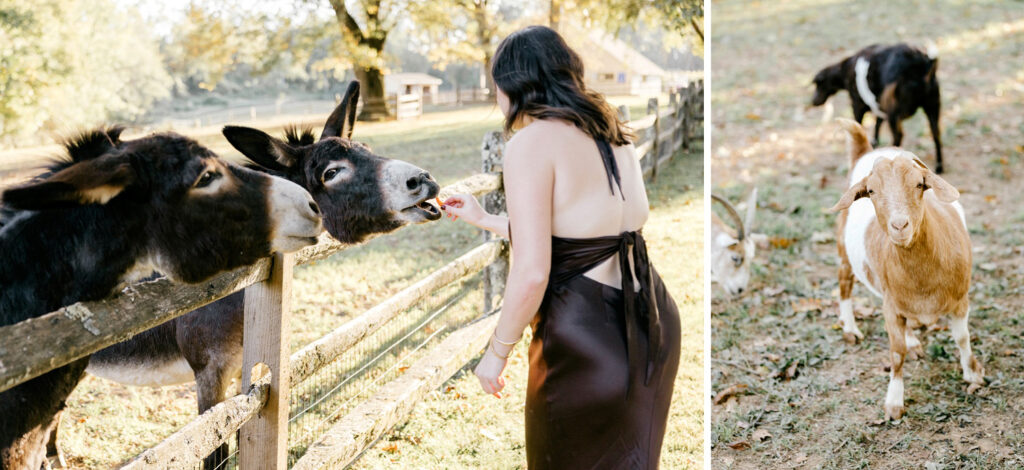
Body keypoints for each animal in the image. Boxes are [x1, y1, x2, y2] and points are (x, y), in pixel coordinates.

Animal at [827, 119, 978, 421]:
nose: (899, 225)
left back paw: (913, 341)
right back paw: (850, 329)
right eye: (871, 191)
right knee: (844, 285)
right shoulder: (891, 306)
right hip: (844, 251)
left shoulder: (960, 301)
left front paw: (973, 375)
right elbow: (896, 353)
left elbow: (962, 337)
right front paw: (894, 403)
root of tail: (868, 149)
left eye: (920, 184)